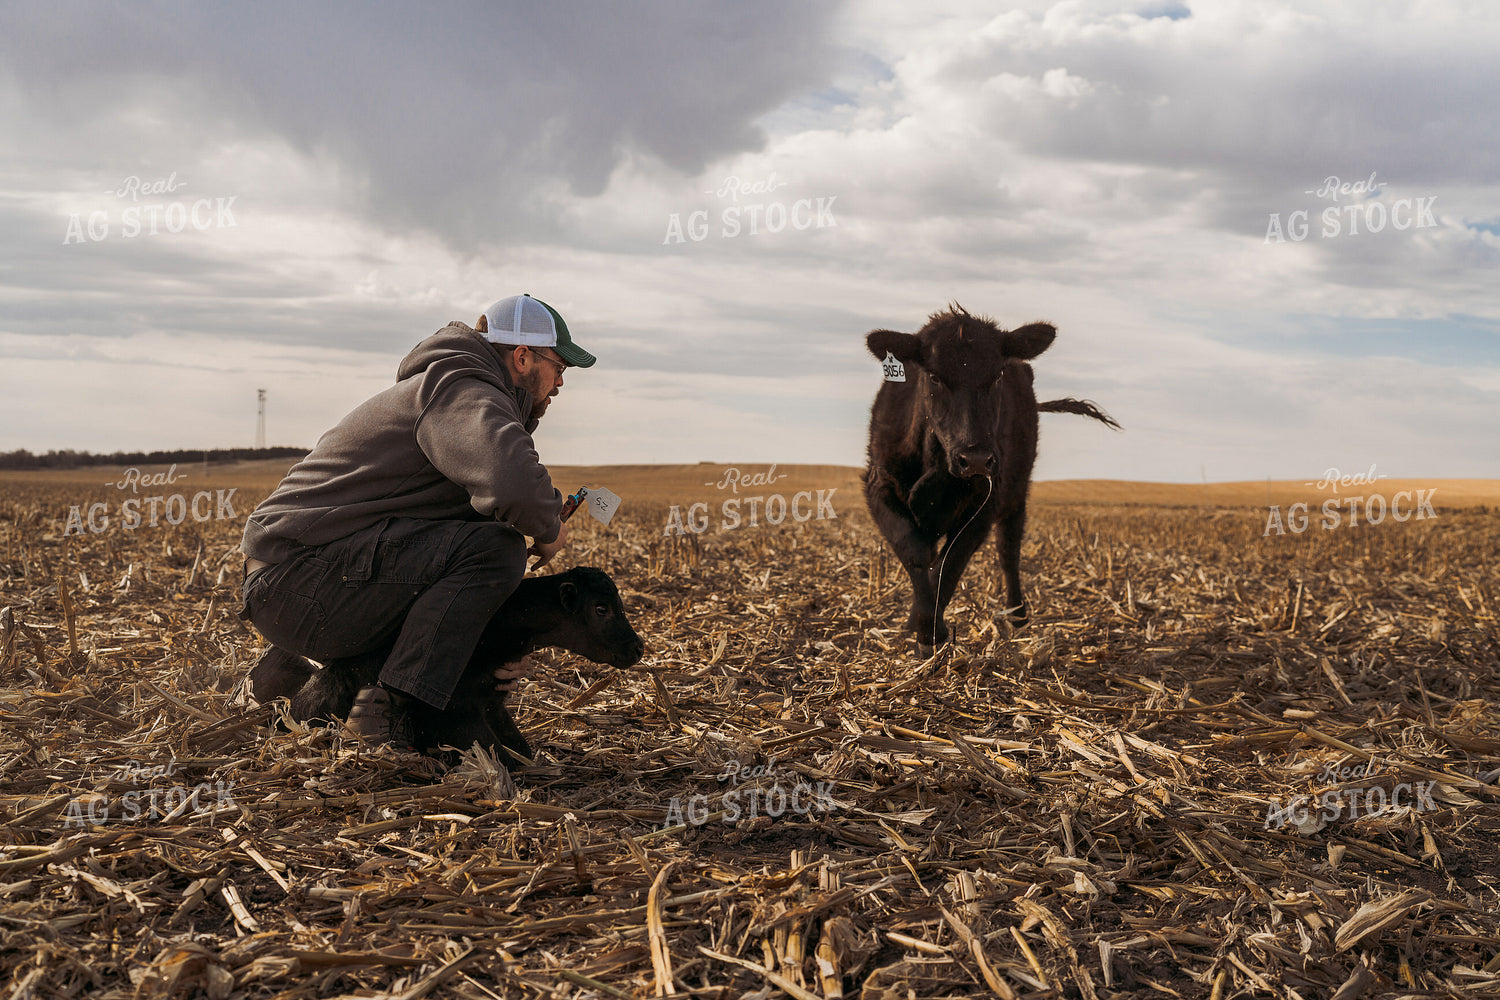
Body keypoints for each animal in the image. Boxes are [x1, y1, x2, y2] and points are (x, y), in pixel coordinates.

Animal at [248, 566, 645, 768]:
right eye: (601, 609)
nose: (637, 647)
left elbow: (517, 747)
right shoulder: (453, 710)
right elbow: (500, 755)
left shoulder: (490, 701)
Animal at [864, 305, 1119, 655]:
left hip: (1016, 493)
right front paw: (921, 627)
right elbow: (915, 551)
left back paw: (1018, 616)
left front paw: (931, 635)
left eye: (997, 375)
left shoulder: (986, 502)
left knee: (1008, 551)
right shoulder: (879, 486)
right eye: (933, 376)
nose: (975, 459)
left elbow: (948, 564)